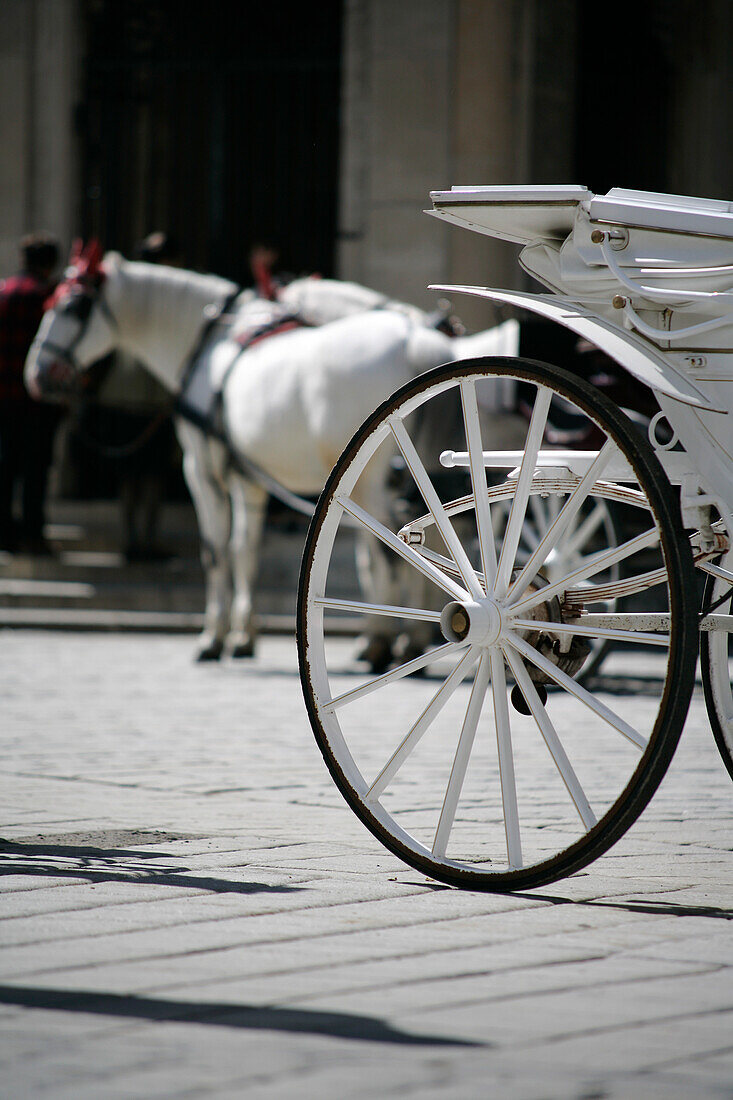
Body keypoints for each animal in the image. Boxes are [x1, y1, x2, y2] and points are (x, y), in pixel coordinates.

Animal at [27, 243, 512, 660]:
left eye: (72, 307)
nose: (36, 373)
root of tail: (419, 342)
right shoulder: (250, 480)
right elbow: (246, 550)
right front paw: (243, 633)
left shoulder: (202, 471)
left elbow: (217, 551)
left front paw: (214, 636)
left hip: (374, 482)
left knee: (391, 555)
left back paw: (384, 642)